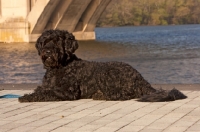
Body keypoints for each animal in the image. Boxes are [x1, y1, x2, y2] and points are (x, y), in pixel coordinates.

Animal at [18, 29, 187, 102]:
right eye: (45, 41)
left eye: (58, 41)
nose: (47, 51)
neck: (60, 68)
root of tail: (140, 77)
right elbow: (43, 89)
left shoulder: (67, 92)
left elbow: (48, 92)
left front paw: (28, 97)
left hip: (107, 73)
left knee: (124, 95)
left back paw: (101, 95)